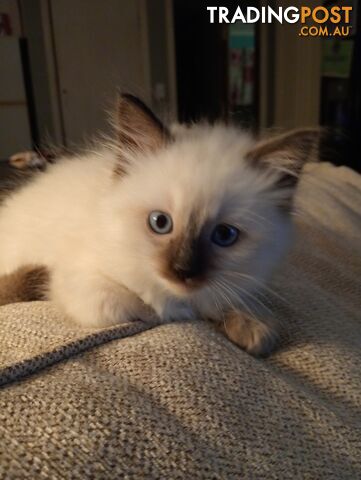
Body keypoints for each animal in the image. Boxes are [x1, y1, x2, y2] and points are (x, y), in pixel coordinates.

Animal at [0, 94, 316, 356]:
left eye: (224, 235)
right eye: (160, 223)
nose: (183, 271)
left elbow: (233, 306)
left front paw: (252, 328)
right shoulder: (88, 288)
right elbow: (151, 306)